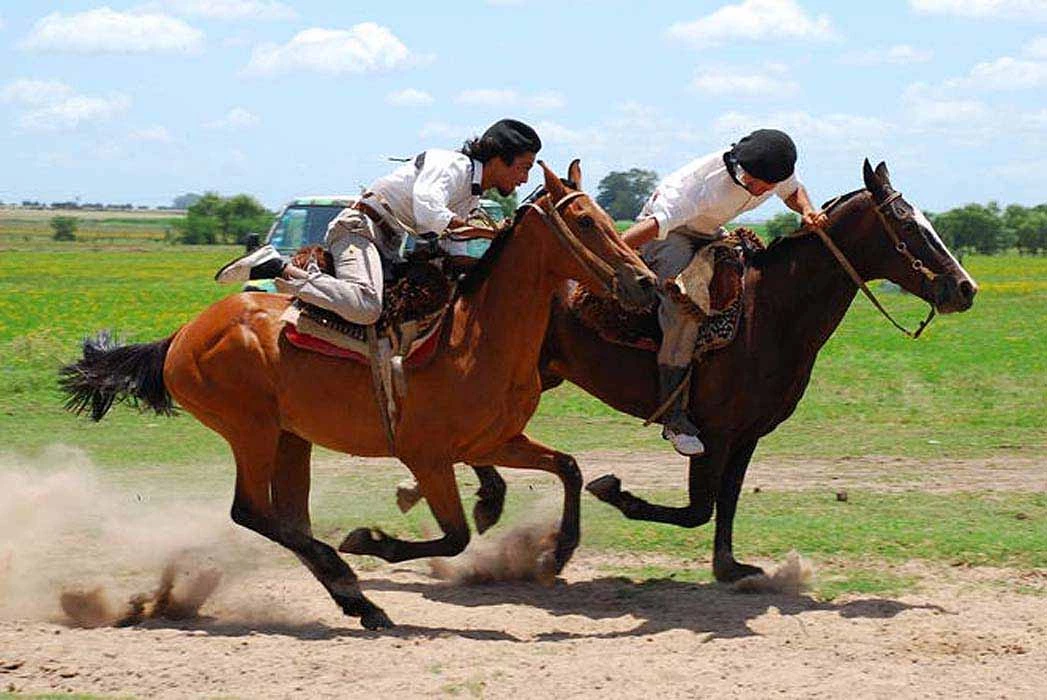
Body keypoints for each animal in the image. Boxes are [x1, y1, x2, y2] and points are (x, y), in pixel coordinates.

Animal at [59, 161, 653, 631]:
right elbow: (455, 535)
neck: (474, 335)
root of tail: (183, 335)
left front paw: (558, 553)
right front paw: (371, 541)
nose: (645, 283)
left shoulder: (493, 441)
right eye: (585, 221)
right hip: (250, 431)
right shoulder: (428, 457)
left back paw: (356, 600)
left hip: (290, 439)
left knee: (288, 520)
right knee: (250, 512)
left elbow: (568, 467)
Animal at [439, 161, 971, 581]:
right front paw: (615, 493)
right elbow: (698, 508)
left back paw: (489, 497)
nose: (965, 288)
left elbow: (726, 501)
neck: (769, 310)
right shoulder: (714, 432)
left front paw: (730, 567)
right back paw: (491, 501)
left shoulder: (747, 433)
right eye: (907, 226)